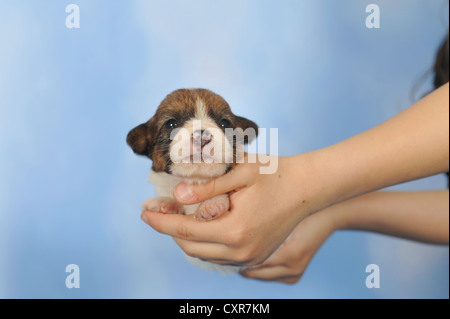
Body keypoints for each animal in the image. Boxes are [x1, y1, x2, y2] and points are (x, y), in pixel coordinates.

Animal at [128, 89, 258, 274]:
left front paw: (212, 203)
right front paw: (165, 203)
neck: (195, 180)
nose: (202, 135)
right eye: (171, 124)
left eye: (224, 123)